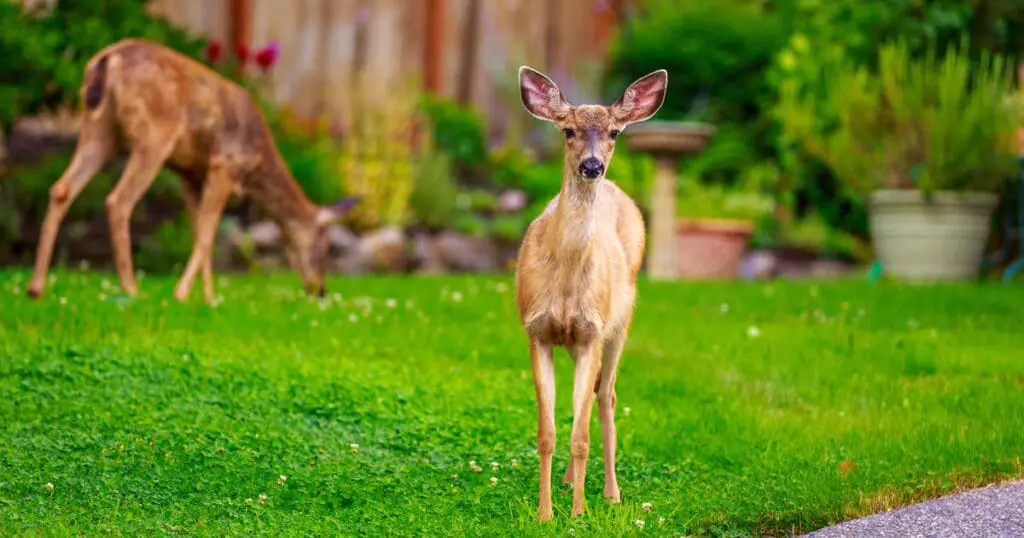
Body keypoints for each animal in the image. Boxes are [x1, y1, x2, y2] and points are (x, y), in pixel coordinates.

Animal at [24, 38, 360, 301]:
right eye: (325, 246)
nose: (320, 290)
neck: (257, 162)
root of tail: (108, 60)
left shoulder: (189, 174)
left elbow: (199, 230)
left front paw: (208, 298)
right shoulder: (223, 165)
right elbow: (209, 232)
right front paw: (184, 294)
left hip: (100, 127)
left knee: (61, 188)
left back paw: (36, 287)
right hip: (155, 135)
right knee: (118, 200)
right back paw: (131, 289)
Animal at [516, 64, 667, 520]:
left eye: (615, 132)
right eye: (568, 130)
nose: (592, 164)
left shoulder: (592, 332)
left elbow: (580, 435)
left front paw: (579, 514)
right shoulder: (537, 331)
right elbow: (547, 432)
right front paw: (545, 513)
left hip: (620, 321)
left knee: (606, 394)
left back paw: (611, 493)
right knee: (583, 402)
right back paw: (568, 482)